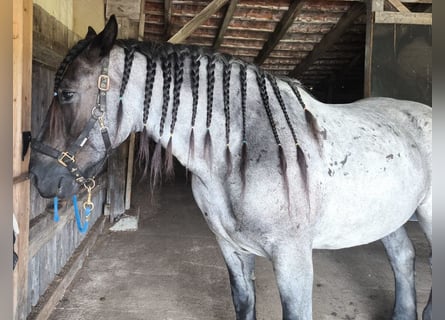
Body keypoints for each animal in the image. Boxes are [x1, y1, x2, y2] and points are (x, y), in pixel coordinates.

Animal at [30, 15, 430, 320]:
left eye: (67, 94)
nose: (37, 176)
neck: (243, 153)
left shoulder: (294, 259)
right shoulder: (231, 248)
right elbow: (243, 303)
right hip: (385, 216)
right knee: (403, 257)